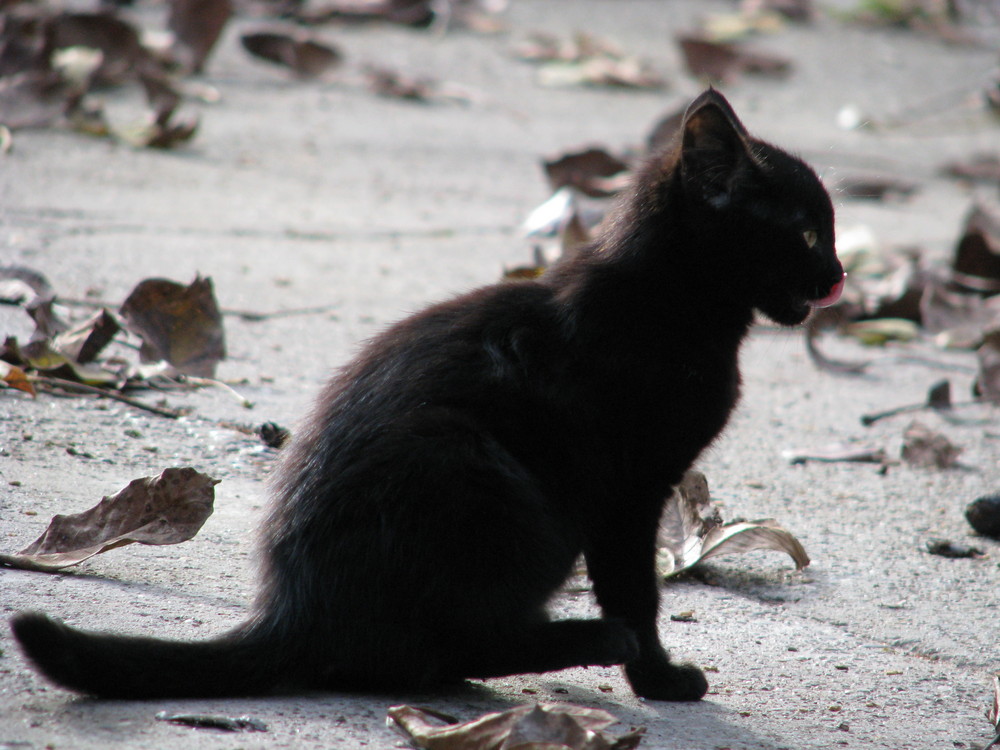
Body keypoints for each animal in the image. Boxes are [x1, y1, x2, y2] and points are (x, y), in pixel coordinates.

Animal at [11, 89, 848, 704]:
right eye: (808, 232)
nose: (840, 276)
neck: (669, 305)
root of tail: (295, 610)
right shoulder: (628, 491)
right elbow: (636, 592)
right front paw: (657, 675)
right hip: (497, 484)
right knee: (445, 643)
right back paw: (590, 640)